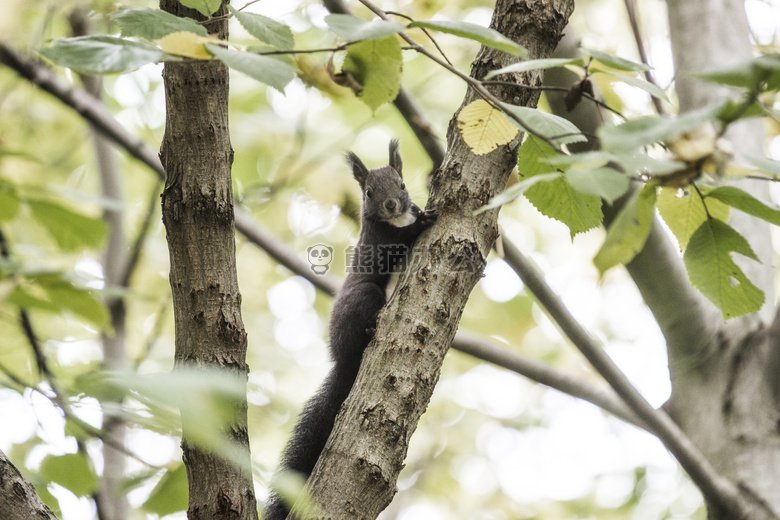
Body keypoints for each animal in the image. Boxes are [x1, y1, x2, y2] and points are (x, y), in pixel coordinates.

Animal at [266, 140, 438, 516]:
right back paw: (370, 331)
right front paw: (423, 221)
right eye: (369, 192)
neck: (394, 219)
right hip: (364, 297)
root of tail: (343, 361)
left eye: (401, 184)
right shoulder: (379, 239)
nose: (391, 204)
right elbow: (400, 240)